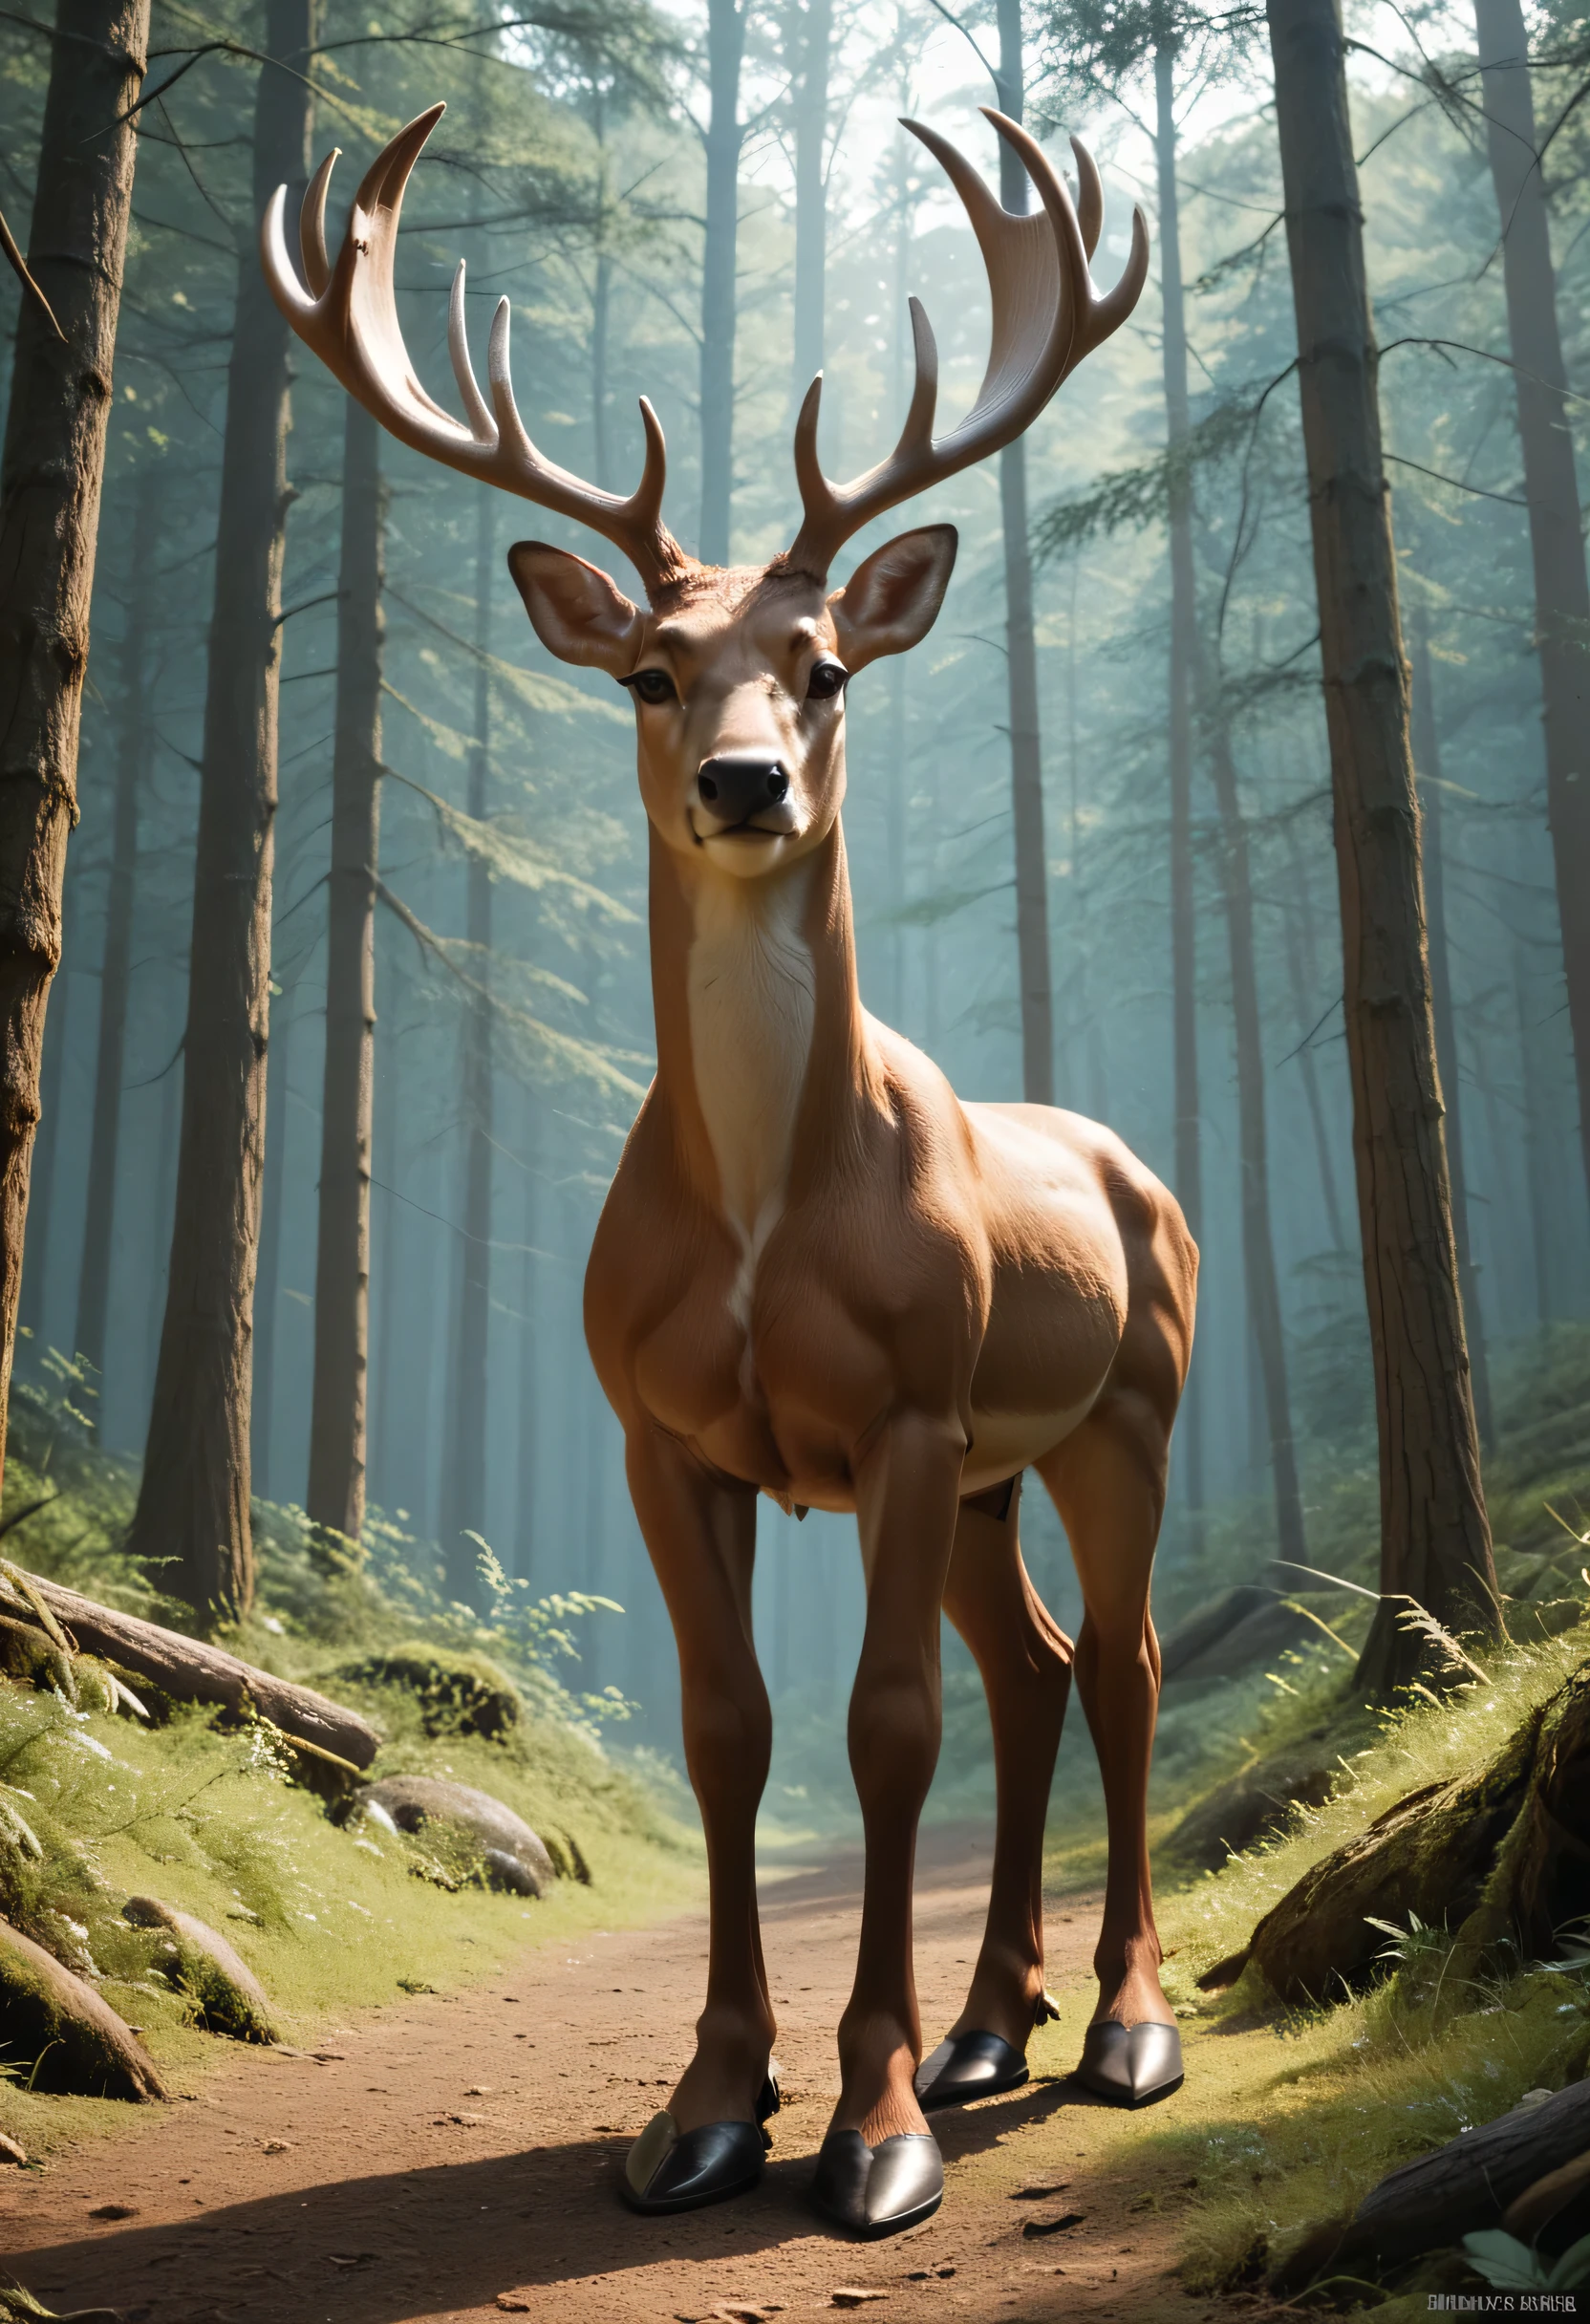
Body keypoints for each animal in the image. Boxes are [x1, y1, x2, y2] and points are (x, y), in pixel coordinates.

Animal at [267, 99, 1190, 2240]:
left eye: (826, 661)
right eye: (648, 672)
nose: (745, 781)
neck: (771, 1222)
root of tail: (1125, 1157)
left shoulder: (913, 1406)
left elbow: (879, 1727)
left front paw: (871, 2124)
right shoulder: (661, 1425)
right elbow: (726, 1733)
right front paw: (704, 2105)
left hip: (1122, 1401)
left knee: (1119, 1662)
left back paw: (1116, 2026)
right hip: (1002, 1469)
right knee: (1035, 1670)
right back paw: (995, 2020)